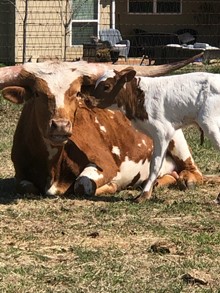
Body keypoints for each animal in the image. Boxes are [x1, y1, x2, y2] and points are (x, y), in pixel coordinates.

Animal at [0, 58, 205, 197]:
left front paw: (111, 186)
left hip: (175, 139)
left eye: (76, 93)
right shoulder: (20, 173)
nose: (60, 126)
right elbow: (27, 187)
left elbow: (83, 184)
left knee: (194, 171)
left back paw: (187, 180)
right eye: (37, 93)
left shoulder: (106, 164)